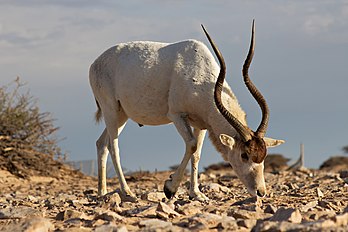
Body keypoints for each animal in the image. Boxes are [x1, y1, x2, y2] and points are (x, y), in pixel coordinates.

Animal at [89, 20, 282, 201]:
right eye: (244, 155)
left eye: (263, 156)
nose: (261, 192)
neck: (201, 74)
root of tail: (95, 63)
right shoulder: (177, 115)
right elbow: (191, 145)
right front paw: (170, 188)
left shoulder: (201, 124)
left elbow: (197, 154)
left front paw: (196, 194)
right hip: (111, 109)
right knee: (113, 146)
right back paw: (127, 192)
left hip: (122, 115)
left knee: (101, 143)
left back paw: (102, 192)